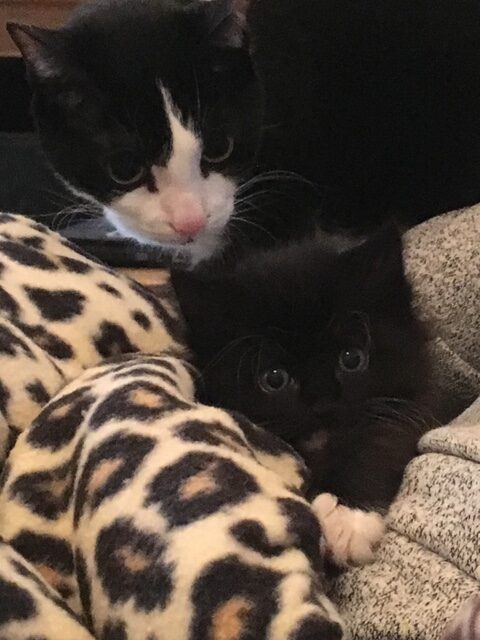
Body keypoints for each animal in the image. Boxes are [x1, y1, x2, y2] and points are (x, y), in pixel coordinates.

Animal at [172, 226, 436, 564]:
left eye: (352, 358)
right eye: (274, 378)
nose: (323, 405)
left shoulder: (416, 399)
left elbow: (383, 437)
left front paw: (347, 519)